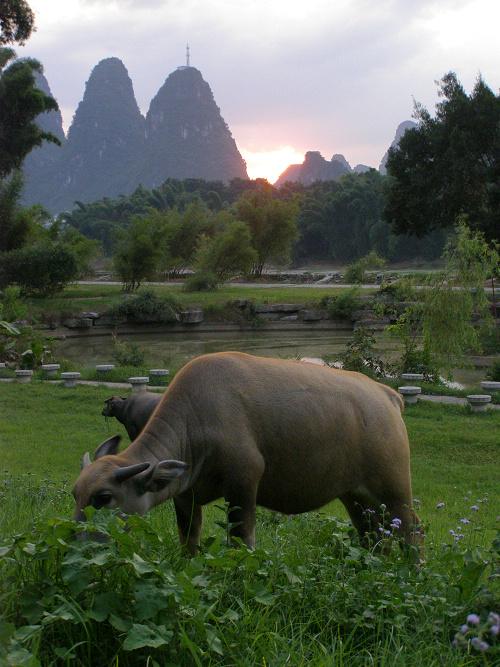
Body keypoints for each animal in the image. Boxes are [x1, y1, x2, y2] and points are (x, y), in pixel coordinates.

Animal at [72, 354, 422, 560]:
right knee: (373, 534)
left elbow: (242, 539)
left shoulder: (243, 481)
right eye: (75, 494)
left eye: (103, 497)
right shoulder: (185, 495)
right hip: (356, 496)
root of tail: (388, 396)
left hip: (395, 487)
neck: (197, 418)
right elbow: (189, 539)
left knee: (412, 530)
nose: (76, 541)